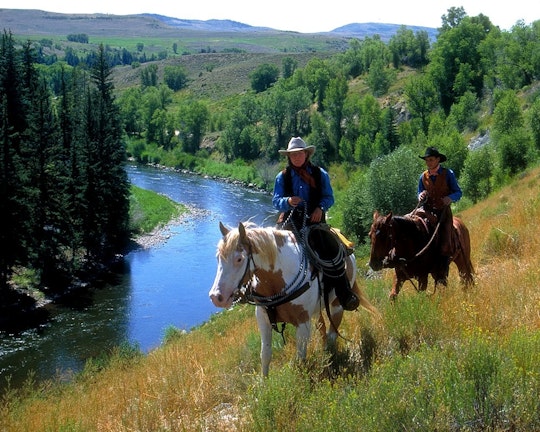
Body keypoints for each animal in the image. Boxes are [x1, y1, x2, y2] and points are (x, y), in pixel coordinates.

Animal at [209, 221, 378, 376]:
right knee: (323, 330)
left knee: (332, 334)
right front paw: (264, 384)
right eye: (218, 258)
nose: (216, 297)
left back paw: (330, 360)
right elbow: (265, 355)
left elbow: (301, 358)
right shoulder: (263, 319)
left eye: (239, 259)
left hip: (337, 305)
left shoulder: (302, 322)